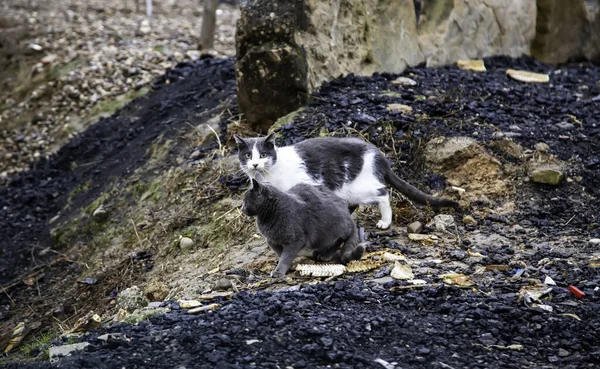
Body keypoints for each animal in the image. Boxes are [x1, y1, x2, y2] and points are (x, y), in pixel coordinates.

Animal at [234, 134, 460, 229]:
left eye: (263, 154)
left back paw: (385, 221)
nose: (255, 164)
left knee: (383, 193)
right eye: (247, 155)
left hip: (361, 186)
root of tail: (378, 154)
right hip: (346, 191)